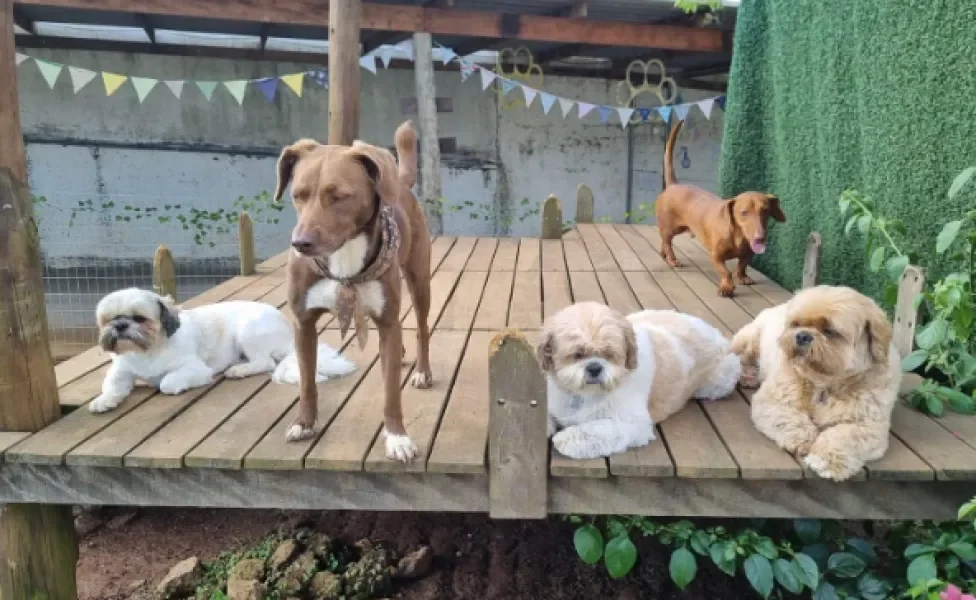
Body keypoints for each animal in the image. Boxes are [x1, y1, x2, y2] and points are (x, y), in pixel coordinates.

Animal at [272, 119, 428, 462]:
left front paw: (397, 437)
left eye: (340, 196)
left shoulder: (387, 321)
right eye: (298, 195)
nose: (300, 243)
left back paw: (423, 370)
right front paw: (304, 423)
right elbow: (307, 382)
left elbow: (391, 393)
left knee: (423, 329)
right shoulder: (303, 323)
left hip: (419, 280)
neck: (343, 262)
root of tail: (398, 182)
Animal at [656, 121, 784, 298]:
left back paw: (664, 255)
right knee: (667, 241)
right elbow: (726, 272)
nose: (760, 238)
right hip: (671, 228)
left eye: (765, 211)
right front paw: (727, 287)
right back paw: (672, 259)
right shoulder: (715, 256)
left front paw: (743, 277)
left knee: (664, 240)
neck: (738, 237)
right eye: (743, 213)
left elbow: (741, 265)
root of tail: (673, 185)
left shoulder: (748, 254)